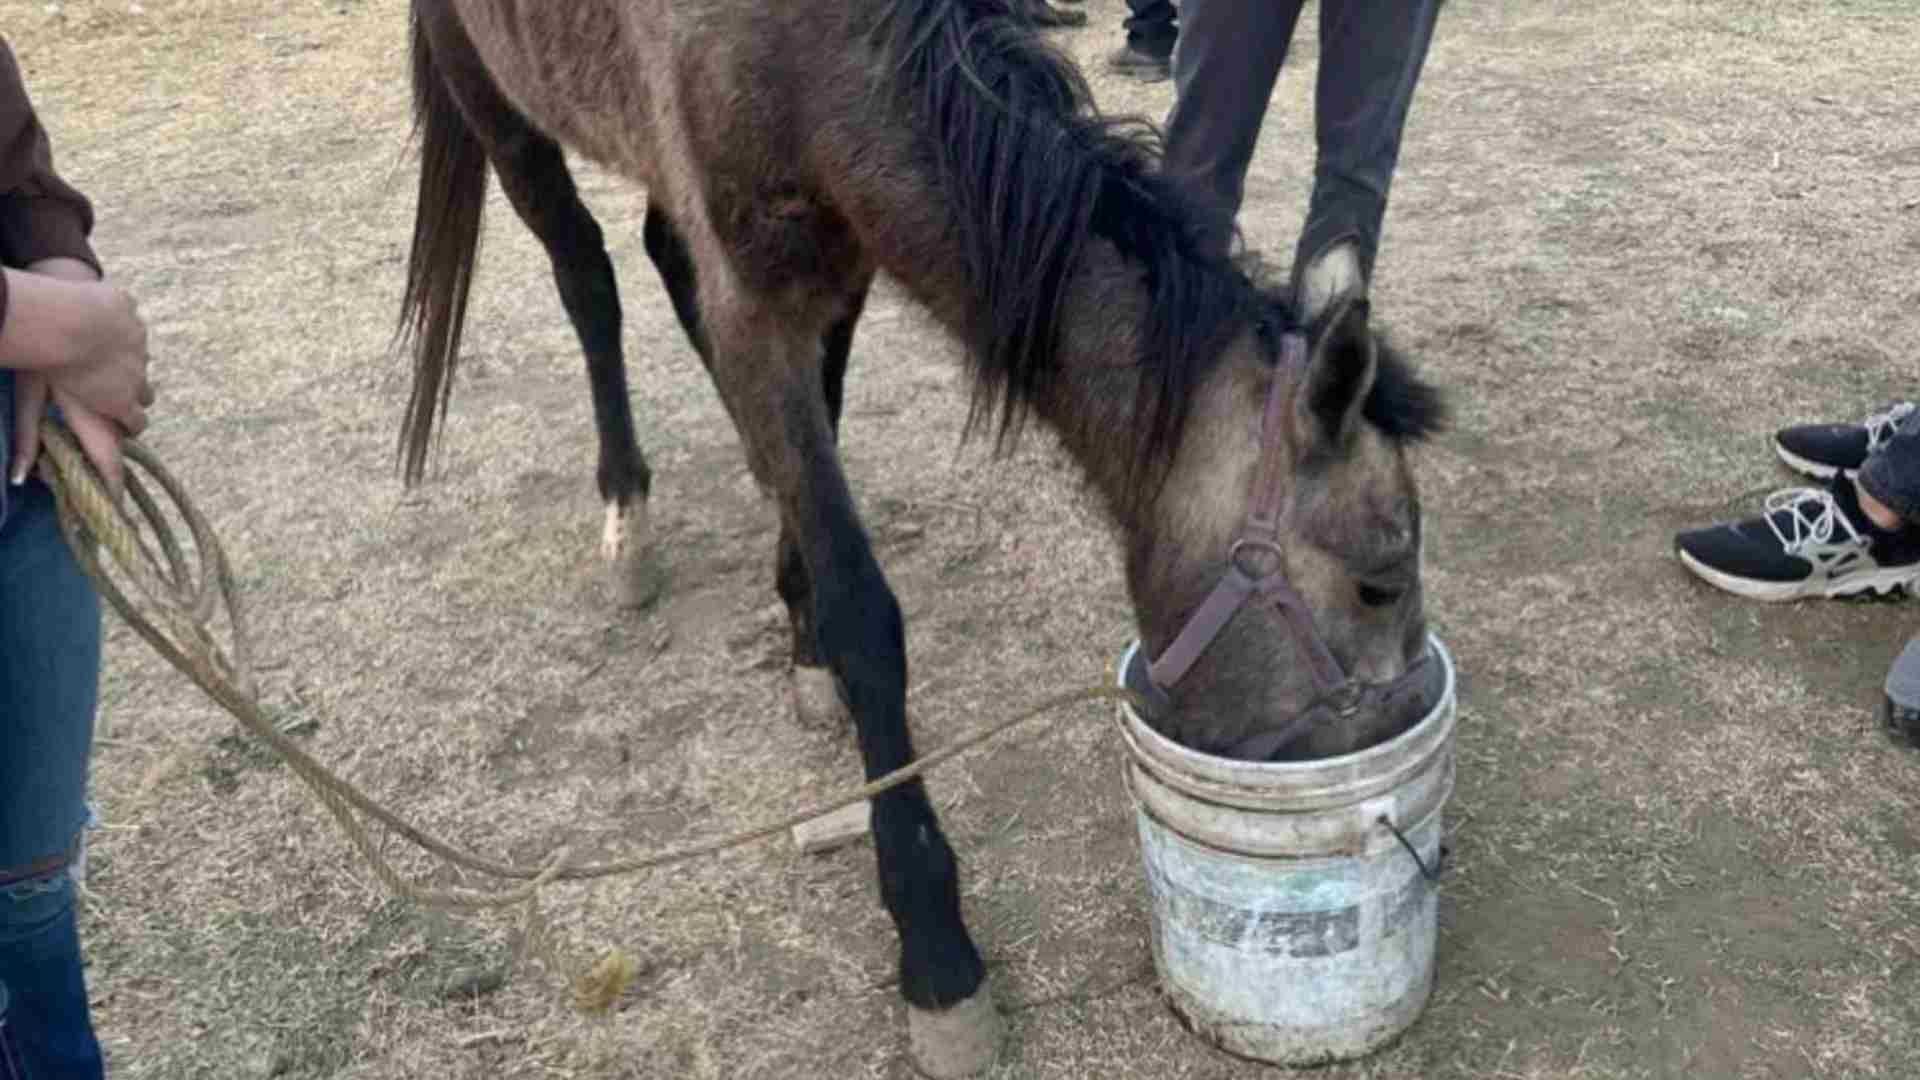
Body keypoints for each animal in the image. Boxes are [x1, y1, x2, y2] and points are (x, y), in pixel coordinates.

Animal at [393, 0, 1443, 1068]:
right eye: (1380, 580)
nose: (1400, 751)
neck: (803, 52)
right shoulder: (759, 298)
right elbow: (865, 613)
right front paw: (936, 948)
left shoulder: (839, 268)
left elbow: (818, 434)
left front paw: (800, 623)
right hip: (497, 104)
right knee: (584, 273)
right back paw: (627, 519)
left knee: (660, 255)